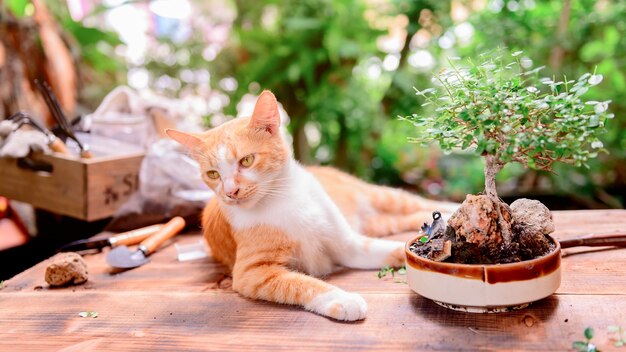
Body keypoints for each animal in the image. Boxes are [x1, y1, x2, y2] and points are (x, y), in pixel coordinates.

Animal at [167, 91, 454, 322]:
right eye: (213, 174)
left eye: (246, 161)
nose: (230, 192)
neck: (284, 198)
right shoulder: (252, 273)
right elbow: (299, 283)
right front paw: (342, 300)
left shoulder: (347, 244)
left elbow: (388, 249)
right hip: (381, 222)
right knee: (409, 216)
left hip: (382, 197)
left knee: (417, 202)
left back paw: (452, 208)